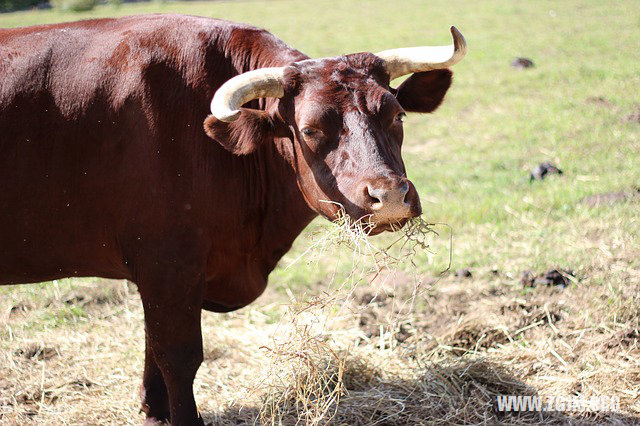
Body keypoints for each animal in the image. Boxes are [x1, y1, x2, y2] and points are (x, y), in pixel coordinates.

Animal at [0, 15, 462, 424]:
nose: (390, 197)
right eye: (310, 129)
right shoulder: (168, 263)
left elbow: (154, 347)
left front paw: (154, 412)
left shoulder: (160, 274)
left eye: (397, 115)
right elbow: (178, 356)